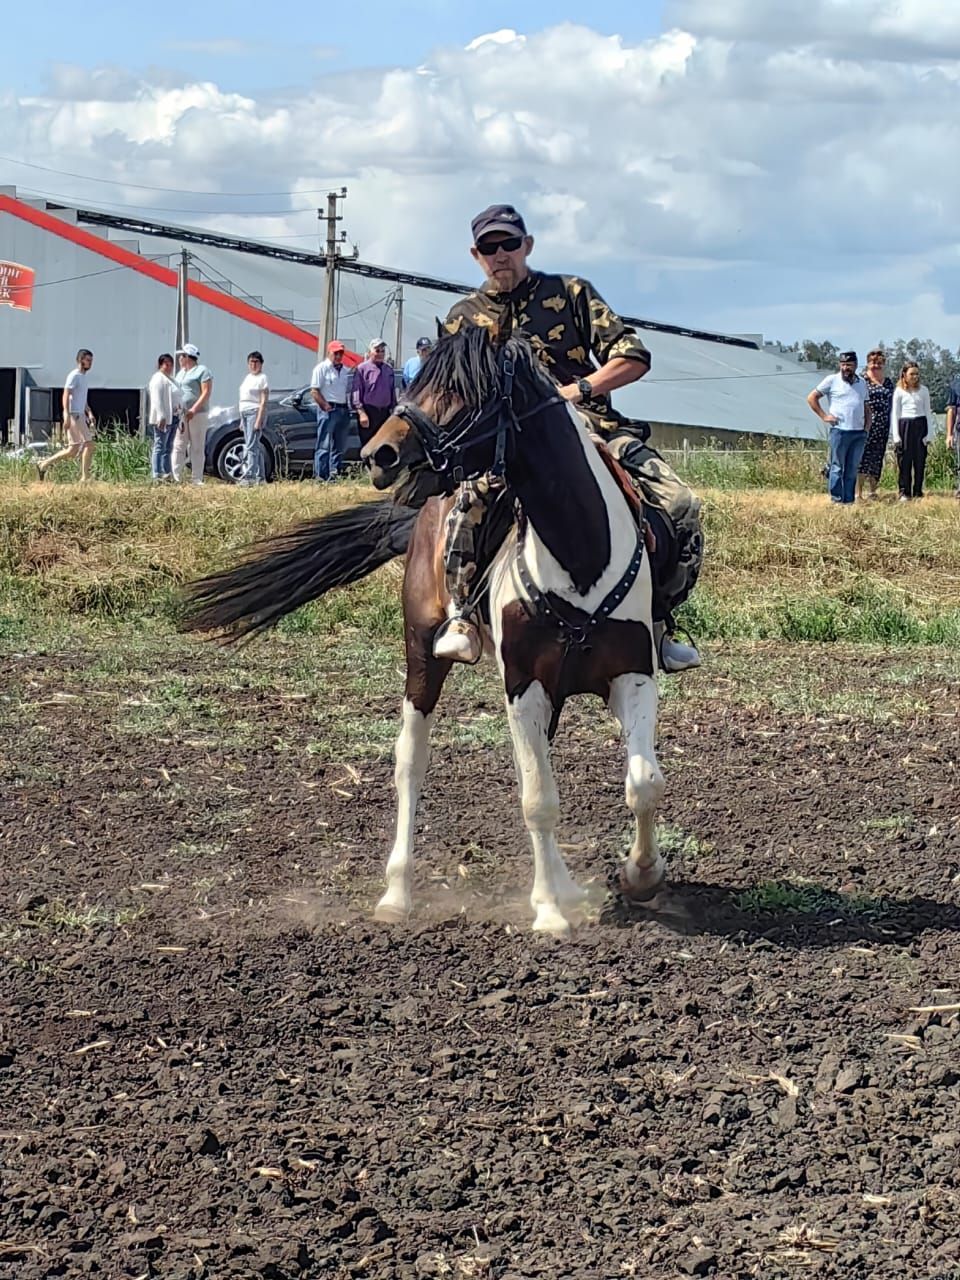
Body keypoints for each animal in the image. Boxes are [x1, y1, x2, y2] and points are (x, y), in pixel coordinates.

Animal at [185, 325, 670, 936]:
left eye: (467, 391)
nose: (378, 453)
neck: (579, 549)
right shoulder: (522, 684)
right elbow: (538, 799)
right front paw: (548, 912)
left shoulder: (632, 672)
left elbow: (643, 783)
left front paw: (639, 874)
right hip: (423, 655)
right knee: (410, 762)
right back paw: (399, 892)